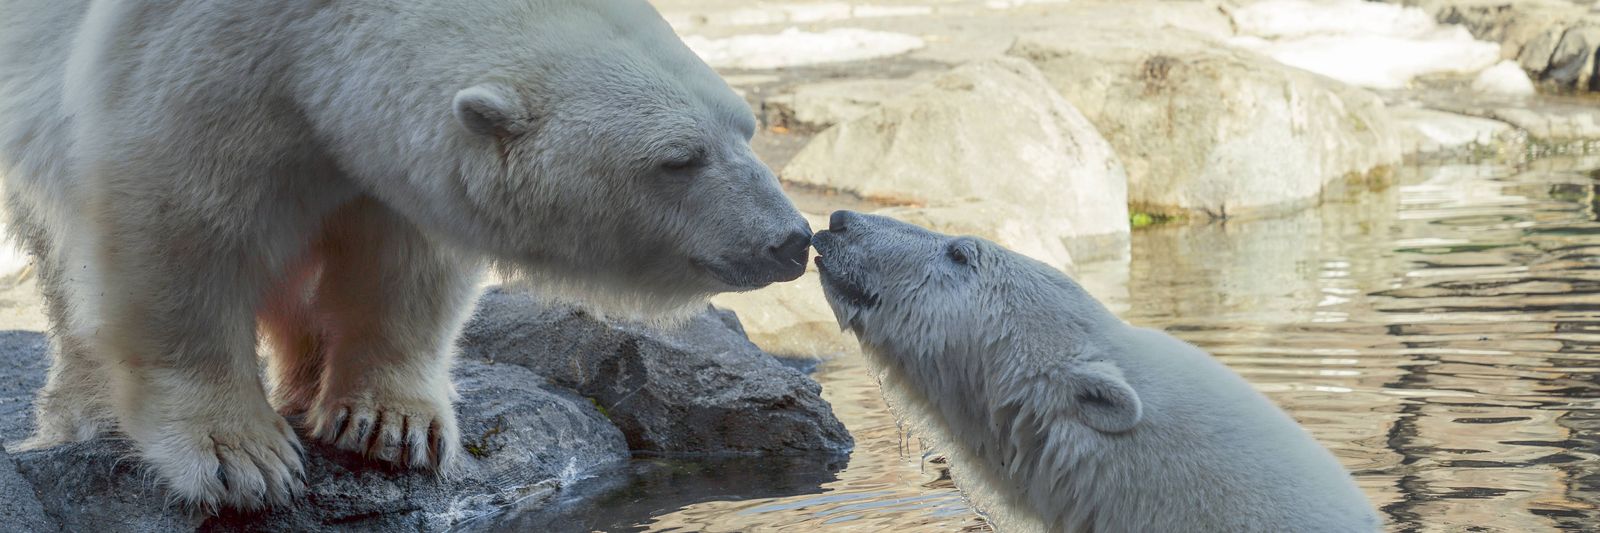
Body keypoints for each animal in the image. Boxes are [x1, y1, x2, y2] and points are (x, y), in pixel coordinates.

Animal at [0, 0, 811, 511]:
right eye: (678, 159)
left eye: (744, 127)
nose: (791, 238)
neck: (306, 31)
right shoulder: (194, 64)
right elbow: (178, 236)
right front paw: (243, 458)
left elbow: (404, 264)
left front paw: (388, 425)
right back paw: (86, 410)